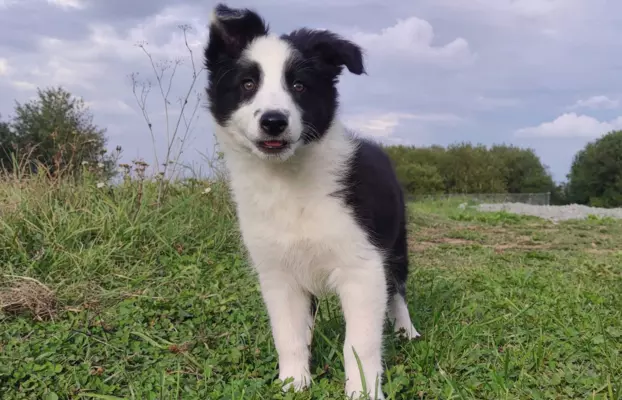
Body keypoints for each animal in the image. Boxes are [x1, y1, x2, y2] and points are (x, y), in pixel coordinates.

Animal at [202, 4, 422, 398]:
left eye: (299, 86)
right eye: (248, 84)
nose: (274, 121)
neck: (288, 181)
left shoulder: (363, 267)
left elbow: (360, 343)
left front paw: (363, 390)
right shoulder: (278, 275)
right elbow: (288, 335)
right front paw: (293, 382)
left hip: (396, 244)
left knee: (397, 289)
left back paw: (405, 330)